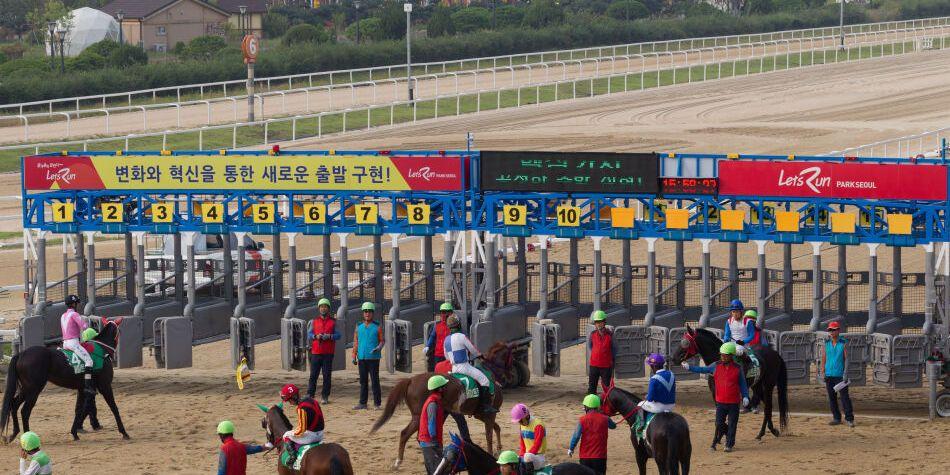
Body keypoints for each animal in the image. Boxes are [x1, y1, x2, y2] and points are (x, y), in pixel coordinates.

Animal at [0, 320, 129, 442]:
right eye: (120, 331)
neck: (102, 351)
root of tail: (21, 354)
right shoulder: (105, 386)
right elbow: (114, 408)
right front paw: (124, 432)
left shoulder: (83, 389)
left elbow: (80, 409)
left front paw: (75, 432)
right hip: (34, 389)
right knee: (25, 411)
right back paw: (28, 435)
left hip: (26, 388)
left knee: (14, 405)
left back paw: (13, 434)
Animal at [372, 354, 506, 468]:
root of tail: (411, 380)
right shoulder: (490, 414)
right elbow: (489, 435)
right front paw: (491, 453)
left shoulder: (482, 415)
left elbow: (496, 428)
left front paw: (498, 449)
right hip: (419, 416)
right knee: (406, 434)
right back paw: (399, 462)